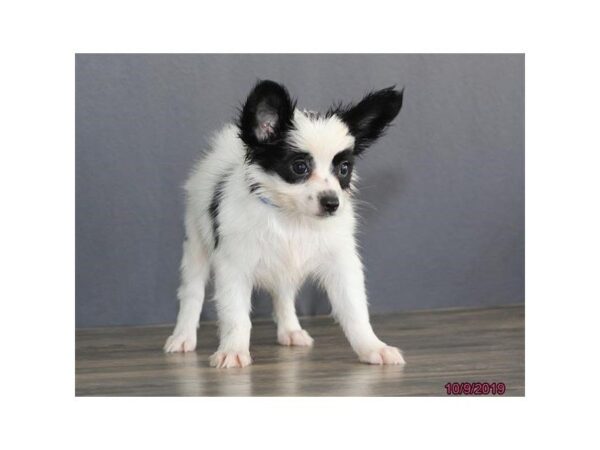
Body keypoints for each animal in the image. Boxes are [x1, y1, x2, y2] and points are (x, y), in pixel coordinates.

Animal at [164, 80, 406, 370]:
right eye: (299, 167)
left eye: (344, 169)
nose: (332, 203)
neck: (292, 219)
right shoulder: (234, 266)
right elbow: (236, 315)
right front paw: (233, 350)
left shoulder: (342, 264)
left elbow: (355, 310)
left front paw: (373, 347)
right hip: (196, 244)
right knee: (192, 292)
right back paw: (183, 336)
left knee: (284, 294)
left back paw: (290, 330)